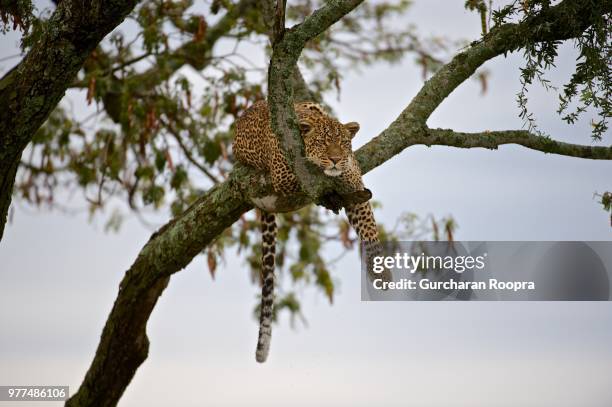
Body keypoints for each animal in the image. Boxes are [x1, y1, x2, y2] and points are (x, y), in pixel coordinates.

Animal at [232, 100, 380, 364]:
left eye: (343, 143)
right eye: (322, 142)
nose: (335, 159)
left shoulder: (356, 184)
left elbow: (366, 220)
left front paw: (380, 269)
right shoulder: (283, 174)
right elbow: (314, 176)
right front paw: (329, 179)